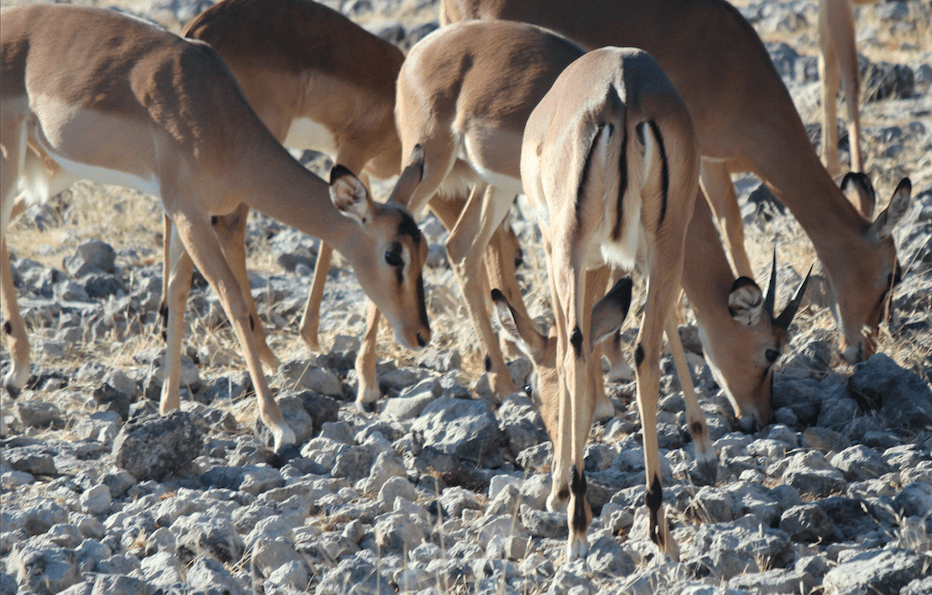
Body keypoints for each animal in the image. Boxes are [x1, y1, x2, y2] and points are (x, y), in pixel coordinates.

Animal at [0, 4, 431, 453]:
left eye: (425, 251)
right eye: (392, 254)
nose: (421, 334)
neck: (216, 115)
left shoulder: (180, 213)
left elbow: (177, 292)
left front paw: (169, 407)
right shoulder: (190, 213)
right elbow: (233, 299)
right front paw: (278, 424)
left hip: (51, 171)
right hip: (14, 156)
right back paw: (17, 373)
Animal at [442, 0, 912, 366]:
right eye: (892, 274)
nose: (863, 349)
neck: (736, 71)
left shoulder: (713, 161)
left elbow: (731, 227)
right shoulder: (696, 162)